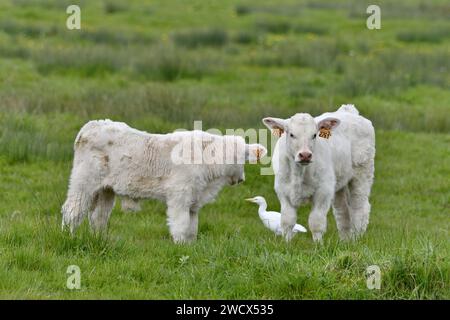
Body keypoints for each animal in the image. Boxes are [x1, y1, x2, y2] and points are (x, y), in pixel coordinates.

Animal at [61, 120, 266, 242]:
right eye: (238, 158)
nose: (241, 179)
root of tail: (91, 126)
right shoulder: (179, 197)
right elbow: (181, 226)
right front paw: (180, 247)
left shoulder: (194, 202)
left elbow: (192, 228)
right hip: (82, 184)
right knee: (72, 211)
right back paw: (68, 237)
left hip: (105, 190)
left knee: (98, 217)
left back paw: (99, 240)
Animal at [264, 105, 376, 242]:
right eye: (291, 134)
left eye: (314, 135)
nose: (305, 155)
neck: (299, 174)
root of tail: (349, 111)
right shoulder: (283, 191)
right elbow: (287, 221)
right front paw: (286, 243)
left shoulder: (323, 191)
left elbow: (316, 222)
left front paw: (318, 245)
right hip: (339, 183)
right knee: (342, 212)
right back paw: (345, 241)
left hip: (363, 173)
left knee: (359, 208)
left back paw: (356, 239)